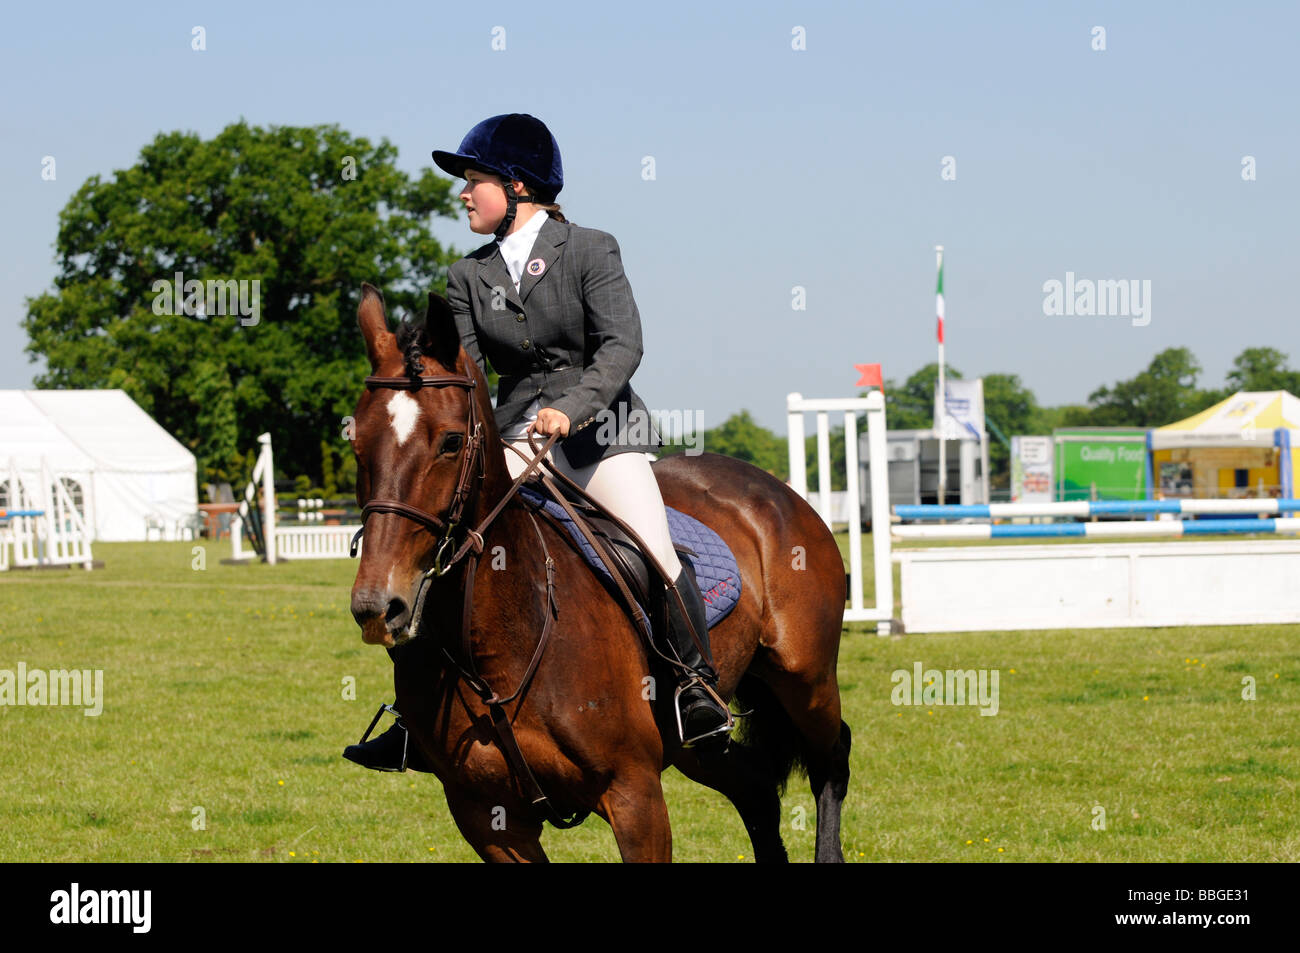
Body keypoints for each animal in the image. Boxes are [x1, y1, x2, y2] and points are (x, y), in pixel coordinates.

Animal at [348, 282, 852, 863]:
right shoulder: (488, 821)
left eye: (451, 441)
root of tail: (772, 489)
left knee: (832, 756)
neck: (498, 639)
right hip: (698, 745)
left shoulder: (634, 796)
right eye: (355, 443)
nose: (378, 606)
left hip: (805, 679)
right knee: (756, 789)